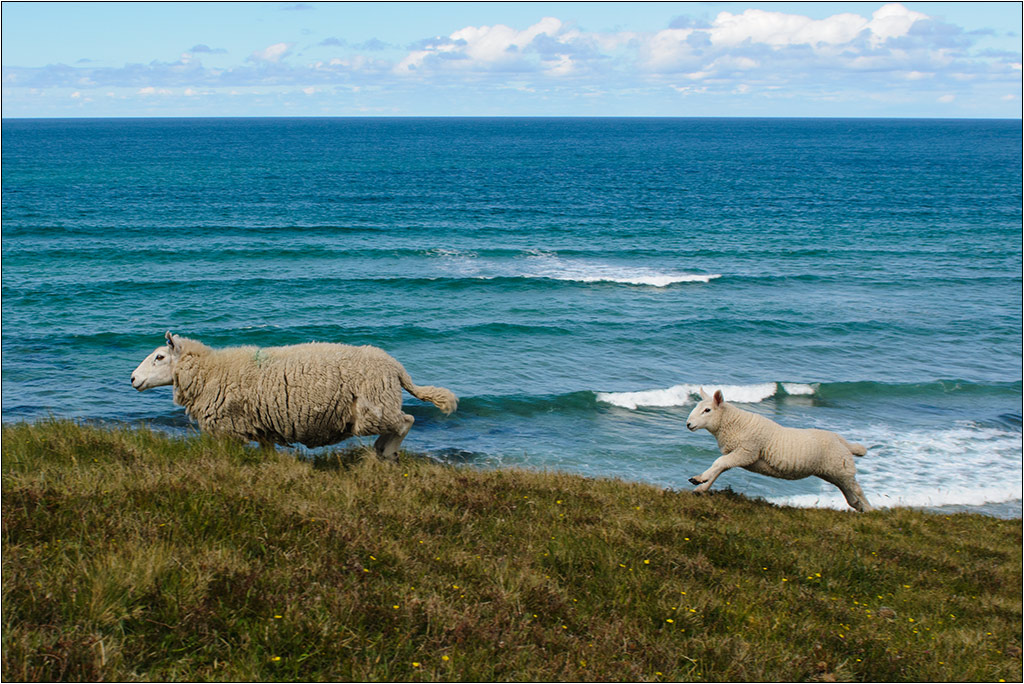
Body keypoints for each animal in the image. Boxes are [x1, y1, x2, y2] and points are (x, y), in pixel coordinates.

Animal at [131, 331, 457, 458]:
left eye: (159, 357)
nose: (132, 378)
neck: (211, 371)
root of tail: (397, 368)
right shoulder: (261, 425)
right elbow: (267, 452)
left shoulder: (229, 428)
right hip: (376, 408)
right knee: (401, 422)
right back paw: (381, 449)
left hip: (373, 409)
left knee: (406, 421)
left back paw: (386, 452)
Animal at [685, 388, 872, 512]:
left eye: (707, 410)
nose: (688, 424)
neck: (733, 423)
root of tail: (841, 440)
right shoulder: (737, 453)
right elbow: (720, 468)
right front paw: (701, 485)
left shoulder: (747, 451)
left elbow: (719, 463)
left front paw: (700, 479)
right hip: (833, 471)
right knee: (849, 493)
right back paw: (859, 507)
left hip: (841, 468)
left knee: (857, 490)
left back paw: (870, 510)